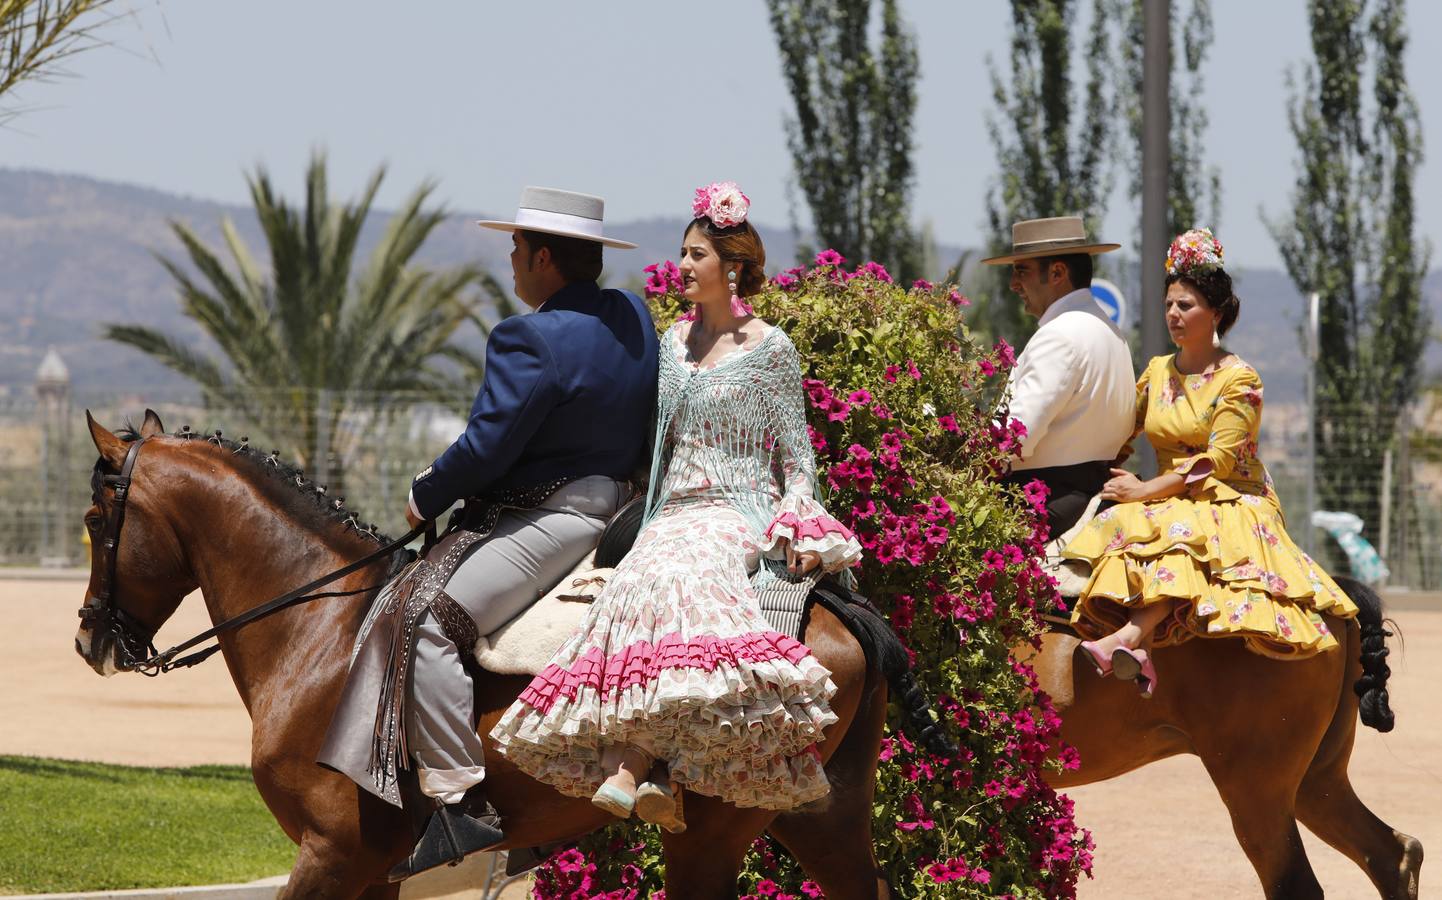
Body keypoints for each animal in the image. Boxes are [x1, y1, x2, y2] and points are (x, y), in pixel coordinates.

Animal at [73, 415, 905, 900]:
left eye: (93, 519)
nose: (88, 639)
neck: (325, 634)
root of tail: (833, 603)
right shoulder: (372, 868)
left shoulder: (332, 853)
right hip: (821, 822)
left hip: (710, 835)